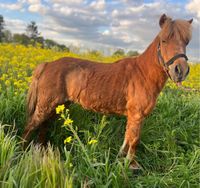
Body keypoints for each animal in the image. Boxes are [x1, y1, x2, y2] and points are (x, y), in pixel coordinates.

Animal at [22, 13, 193, 168]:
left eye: (187, 42)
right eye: (164, 40)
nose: (180, 70)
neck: (143, 74)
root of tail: (48, 64)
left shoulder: (134, 116)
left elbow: (127, 138)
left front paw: (121, 158)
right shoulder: (137, 115)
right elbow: (134, 140)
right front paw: (129, 166)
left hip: (58, 106)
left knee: (44, 126)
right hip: (45, 106)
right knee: (30, 126)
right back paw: (22, 151)